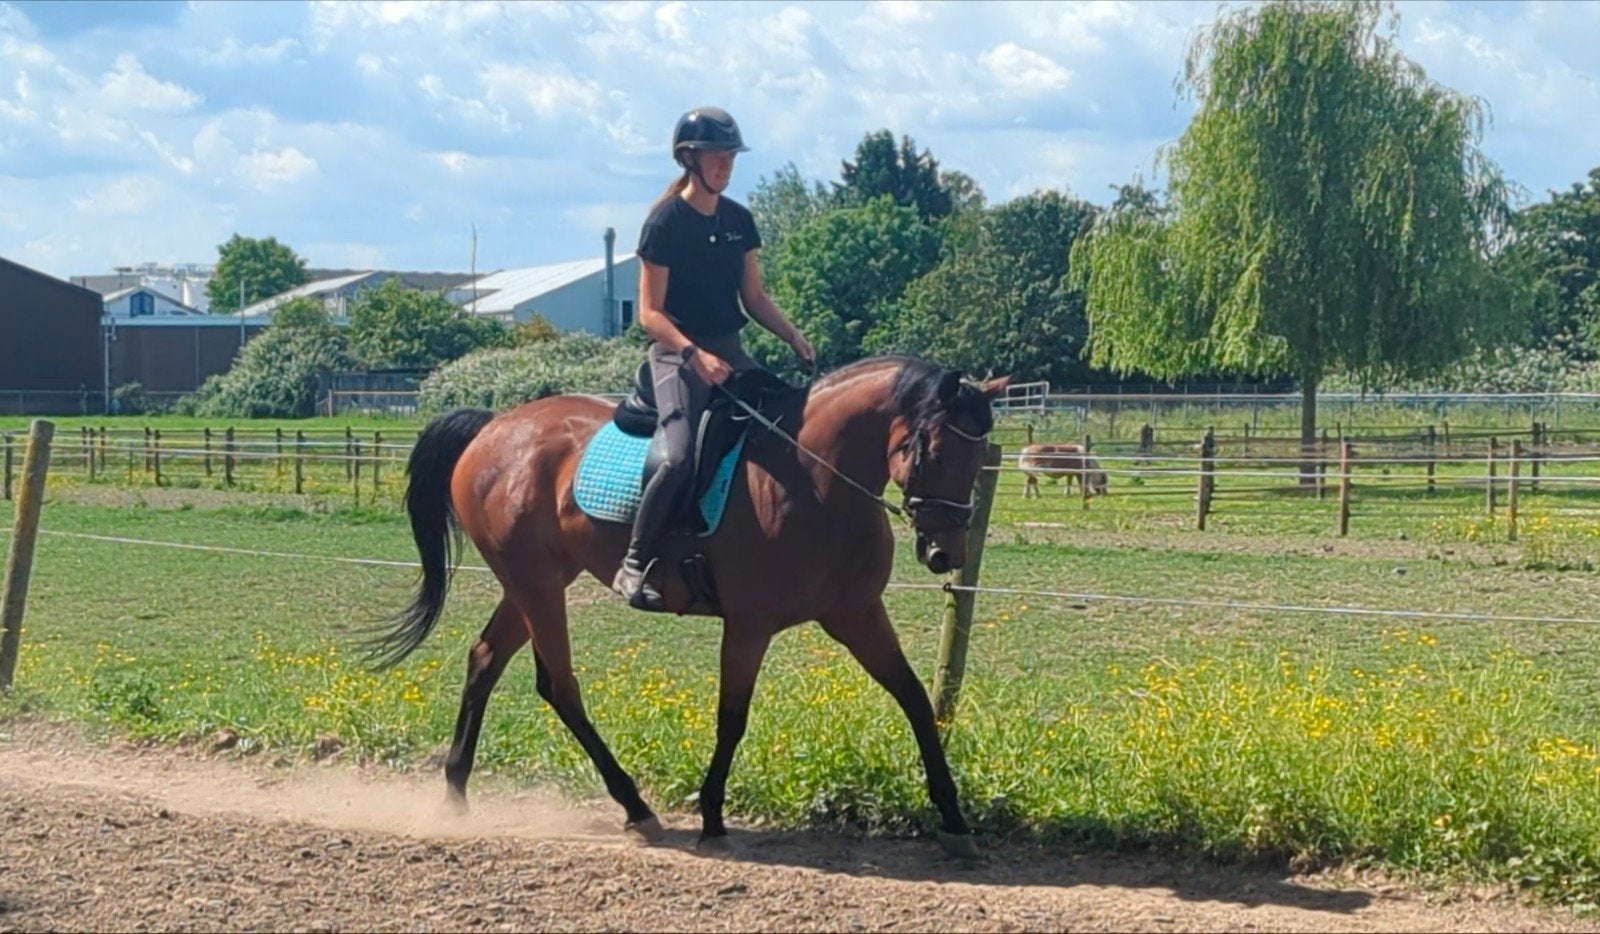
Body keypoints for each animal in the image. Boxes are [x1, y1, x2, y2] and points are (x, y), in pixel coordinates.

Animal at [371, 356, 1010, 858]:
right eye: (931, 448)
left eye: (979, 455)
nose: (945, 552)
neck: (812, 477)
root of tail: (494, 426)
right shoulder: (749, 625)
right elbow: (732, 718)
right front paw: (712, 817)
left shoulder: (857, 615)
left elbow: (916, 700)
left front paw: (954, 820)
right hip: (537, 585)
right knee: (559, 686)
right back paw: (635, 807)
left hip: (530, 583)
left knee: (485, 659)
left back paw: (456, 791)